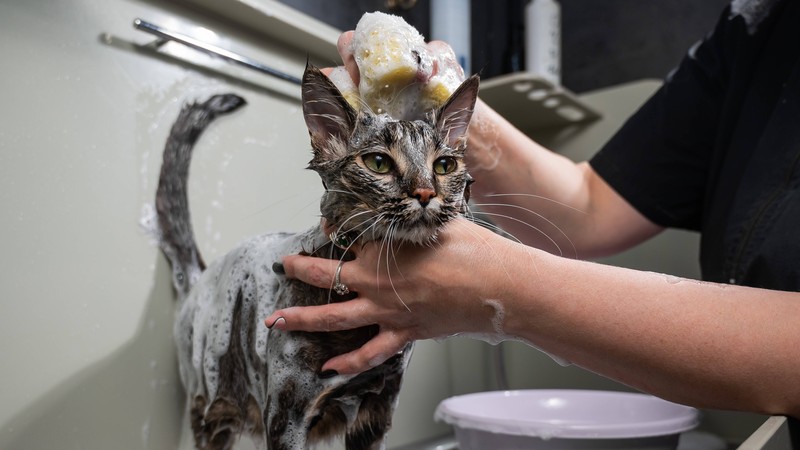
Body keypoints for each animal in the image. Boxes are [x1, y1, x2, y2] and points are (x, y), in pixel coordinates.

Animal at [155, 64, 478, 450]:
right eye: (378, 163)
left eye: (444, 166)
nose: (426, 192)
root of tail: (200, 278)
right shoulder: (287, 415)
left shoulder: (377, 412)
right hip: (215, 408)